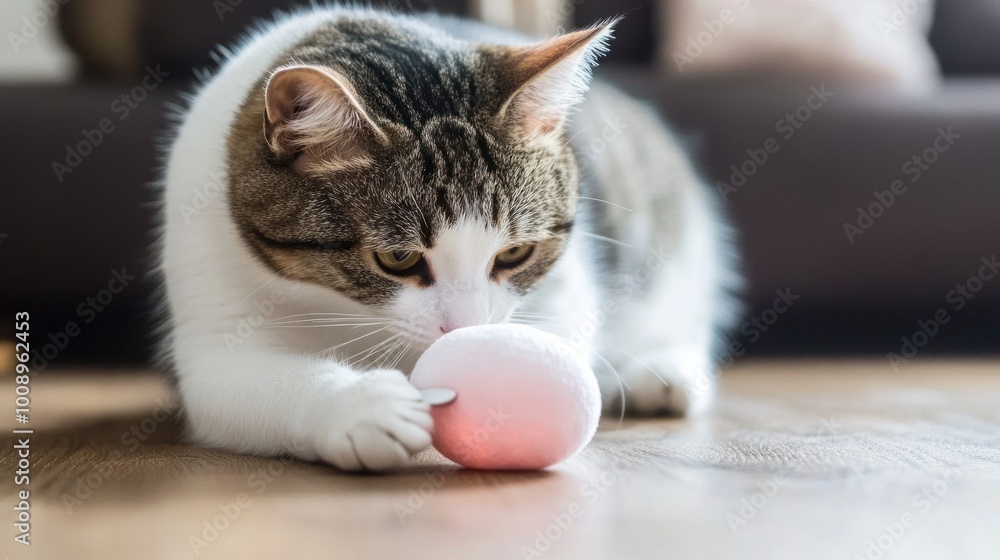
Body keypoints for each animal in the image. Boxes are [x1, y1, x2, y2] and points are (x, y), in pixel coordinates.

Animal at [156, 6, 736, 470]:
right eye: (396, 258)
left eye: (515, 252)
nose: (464, 329)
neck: (340, 307)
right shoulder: (212, 307)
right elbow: (240, 380)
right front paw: (362, 405)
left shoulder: (564, 290)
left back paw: (659, 370)